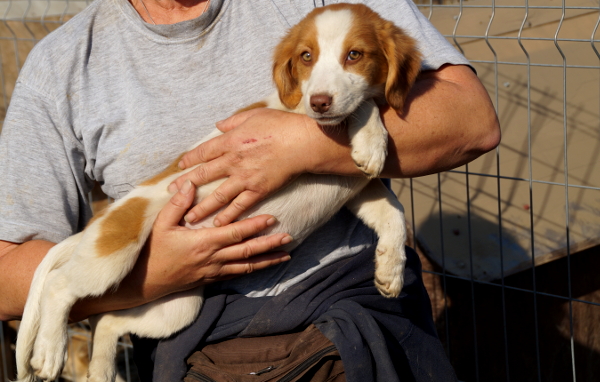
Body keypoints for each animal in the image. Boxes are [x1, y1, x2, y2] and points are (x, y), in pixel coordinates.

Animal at [12, 3, 418, 382]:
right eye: (307, 57)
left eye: (355, 55)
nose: (321, 102)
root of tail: (100, 220)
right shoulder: (291, 115)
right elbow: (365, 104)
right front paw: (372, 142)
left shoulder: (356, 190)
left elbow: (393, 213)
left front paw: (391, 270)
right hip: (114, 254)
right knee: (59, 286)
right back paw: (50, 352)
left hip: (175, 304)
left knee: (108, 319)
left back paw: (101, 369)